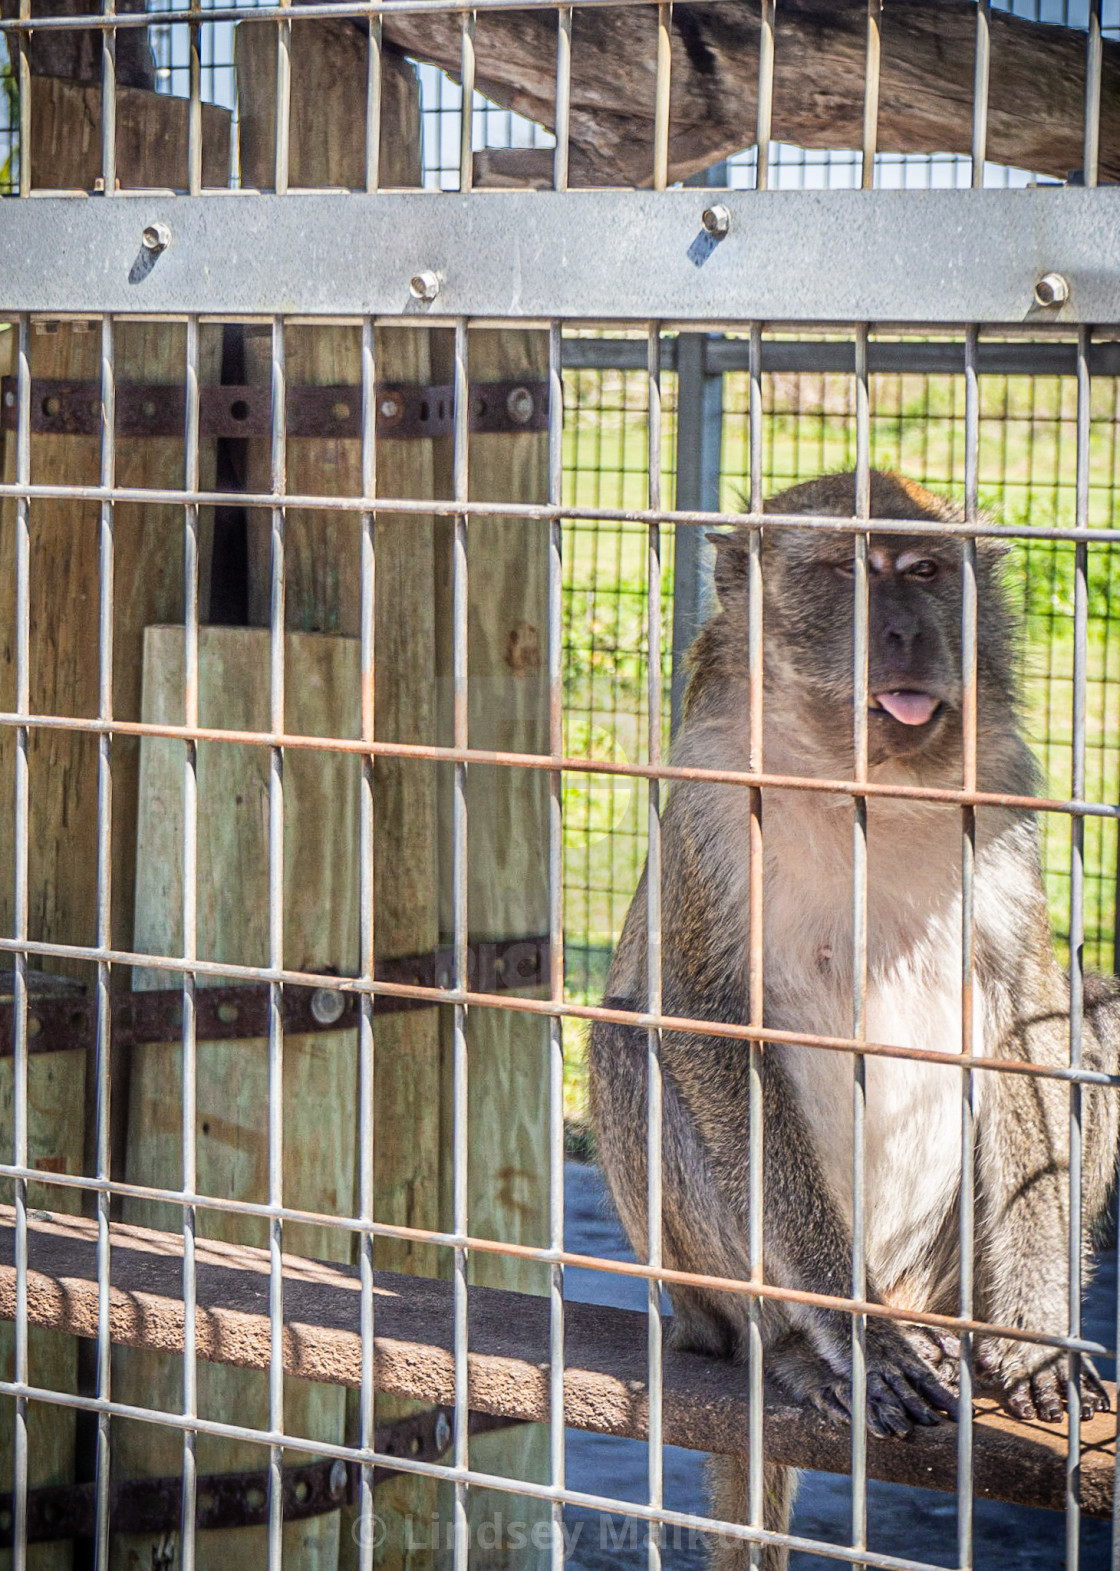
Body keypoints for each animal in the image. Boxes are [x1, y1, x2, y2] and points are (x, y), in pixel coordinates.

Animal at [584, 471, 1118, 1564]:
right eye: (843, 570)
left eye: (924, 571)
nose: (905, 631)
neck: (866, 776)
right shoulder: (711, 792)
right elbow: (702, 1019)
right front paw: (854, 1340)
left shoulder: (1002, 786)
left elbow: (1028, 1014)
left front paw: (1037, 1332)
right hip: (701, 1294)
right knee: (627, 1036)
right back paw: (794, 1344)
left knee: (1094, 1012)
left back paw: (967, 1334)